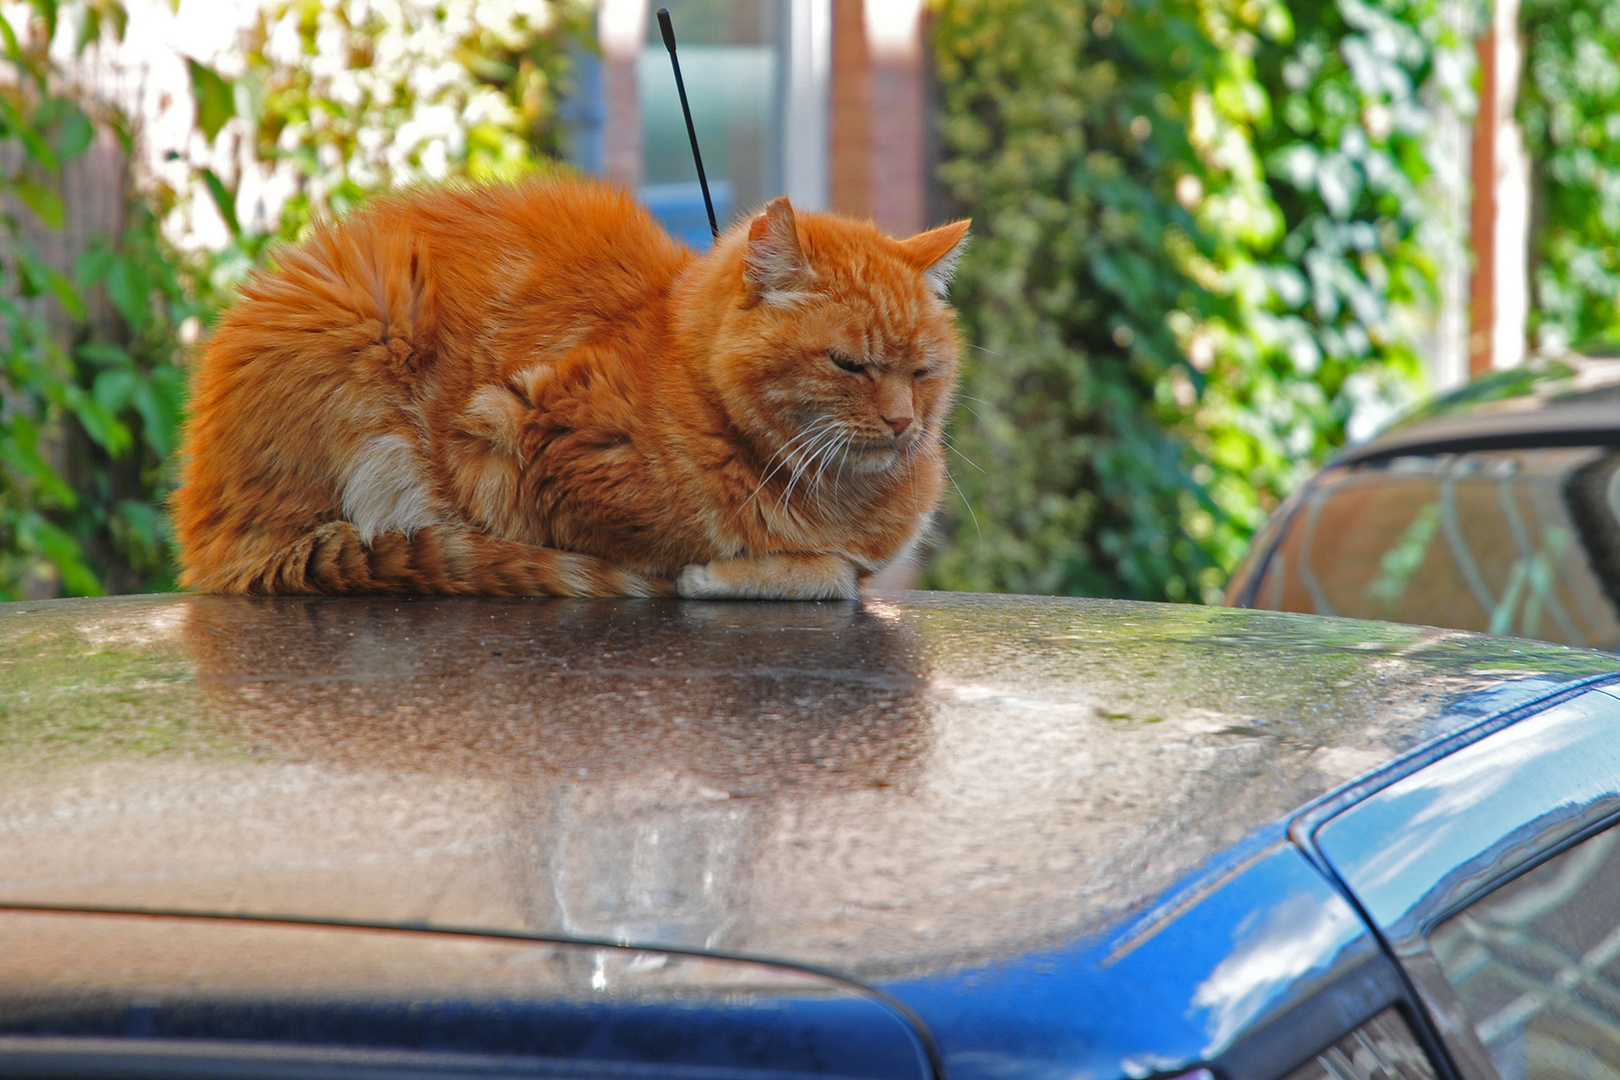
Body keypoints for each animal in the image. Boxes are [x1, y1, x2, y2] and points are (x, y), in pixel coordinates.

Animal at [172, 176, 965, 599]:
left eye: (922, 373)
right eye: (849, 365)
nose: (903, 423)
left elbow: (844, 574)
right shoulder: (507, 441)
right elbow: (815, 571)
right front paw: (724, 571)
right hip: (370, 319)